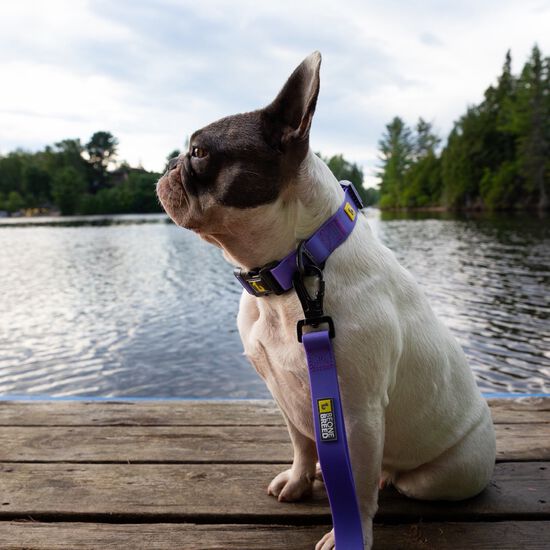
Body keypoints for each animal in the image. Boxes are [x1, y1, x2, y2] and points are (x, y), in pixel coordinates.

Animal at [157, 50, 498, 548]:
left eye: (199, 152)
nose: (168, 166)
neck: (293, 271)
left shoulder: (356, 414)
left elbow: (356, 482)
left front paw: (350, 531)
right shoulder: (287, 396)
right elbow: (302, 442)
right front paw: (300, 480)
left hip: (439, 474)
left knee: (400, 476)